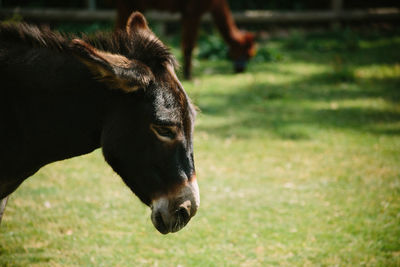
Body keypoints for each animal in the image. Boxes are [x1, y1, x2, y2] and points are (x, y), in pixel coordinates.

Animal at [115, 0, 256, 79]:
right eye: (246, 53)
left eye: (249, 56)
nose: (240, 69)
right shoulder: (193, 11)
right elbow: (189, 45)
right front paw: (189, 76)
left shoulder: (186, 14)